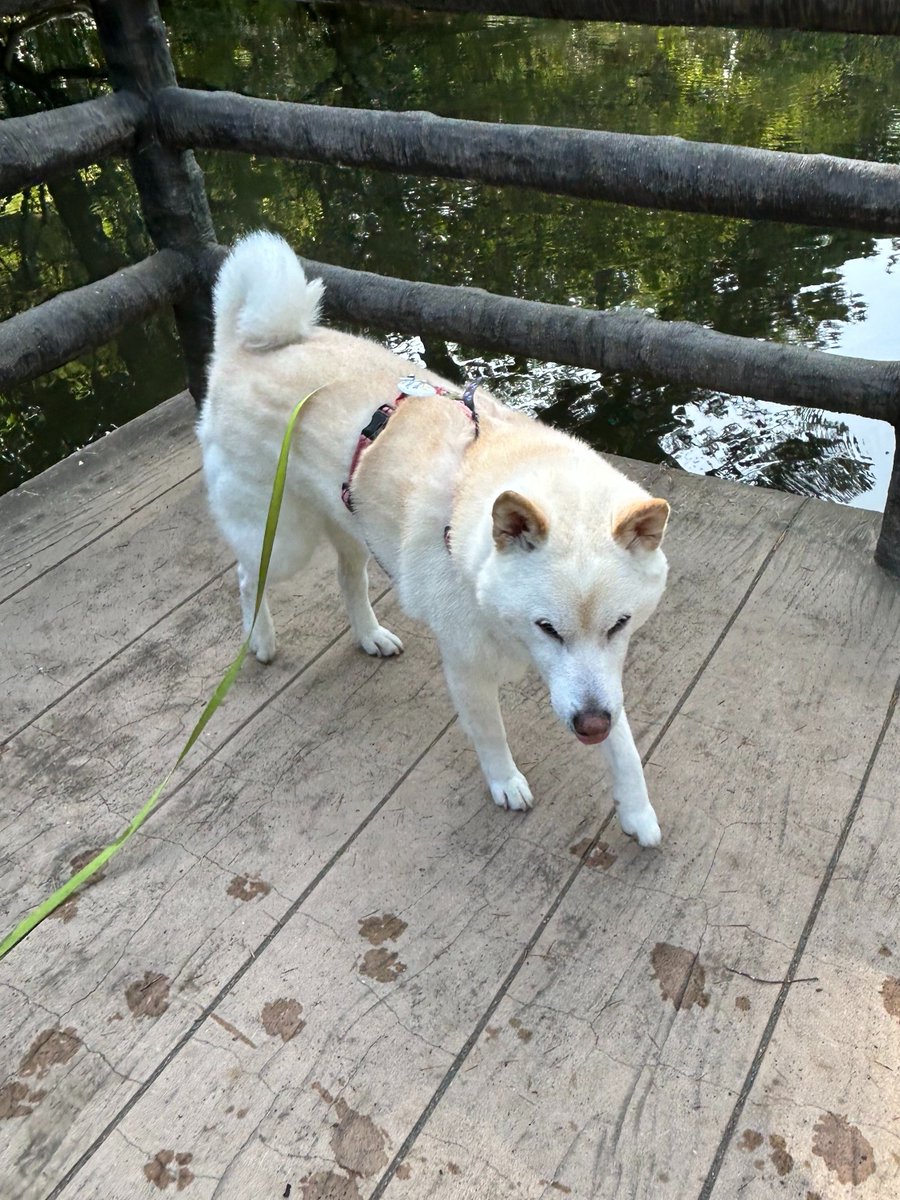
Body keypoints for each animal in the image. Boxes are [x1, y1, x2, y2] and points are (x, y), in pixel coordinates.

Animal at [200, 231, 672, 844]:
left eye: (620, 624)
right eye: (547, 627)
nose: (588, 726)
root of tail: (245, 346)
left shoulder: (601, 683)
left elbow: (625, 748)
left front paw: (637, 811)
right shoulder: (468, 665)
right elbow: (491, 734)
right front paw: (506, 784)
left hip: (349, 521)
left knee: (347, 577)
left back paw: (370, 635)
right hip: (283, 541)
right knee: (244, 576)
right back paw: (259, 640)